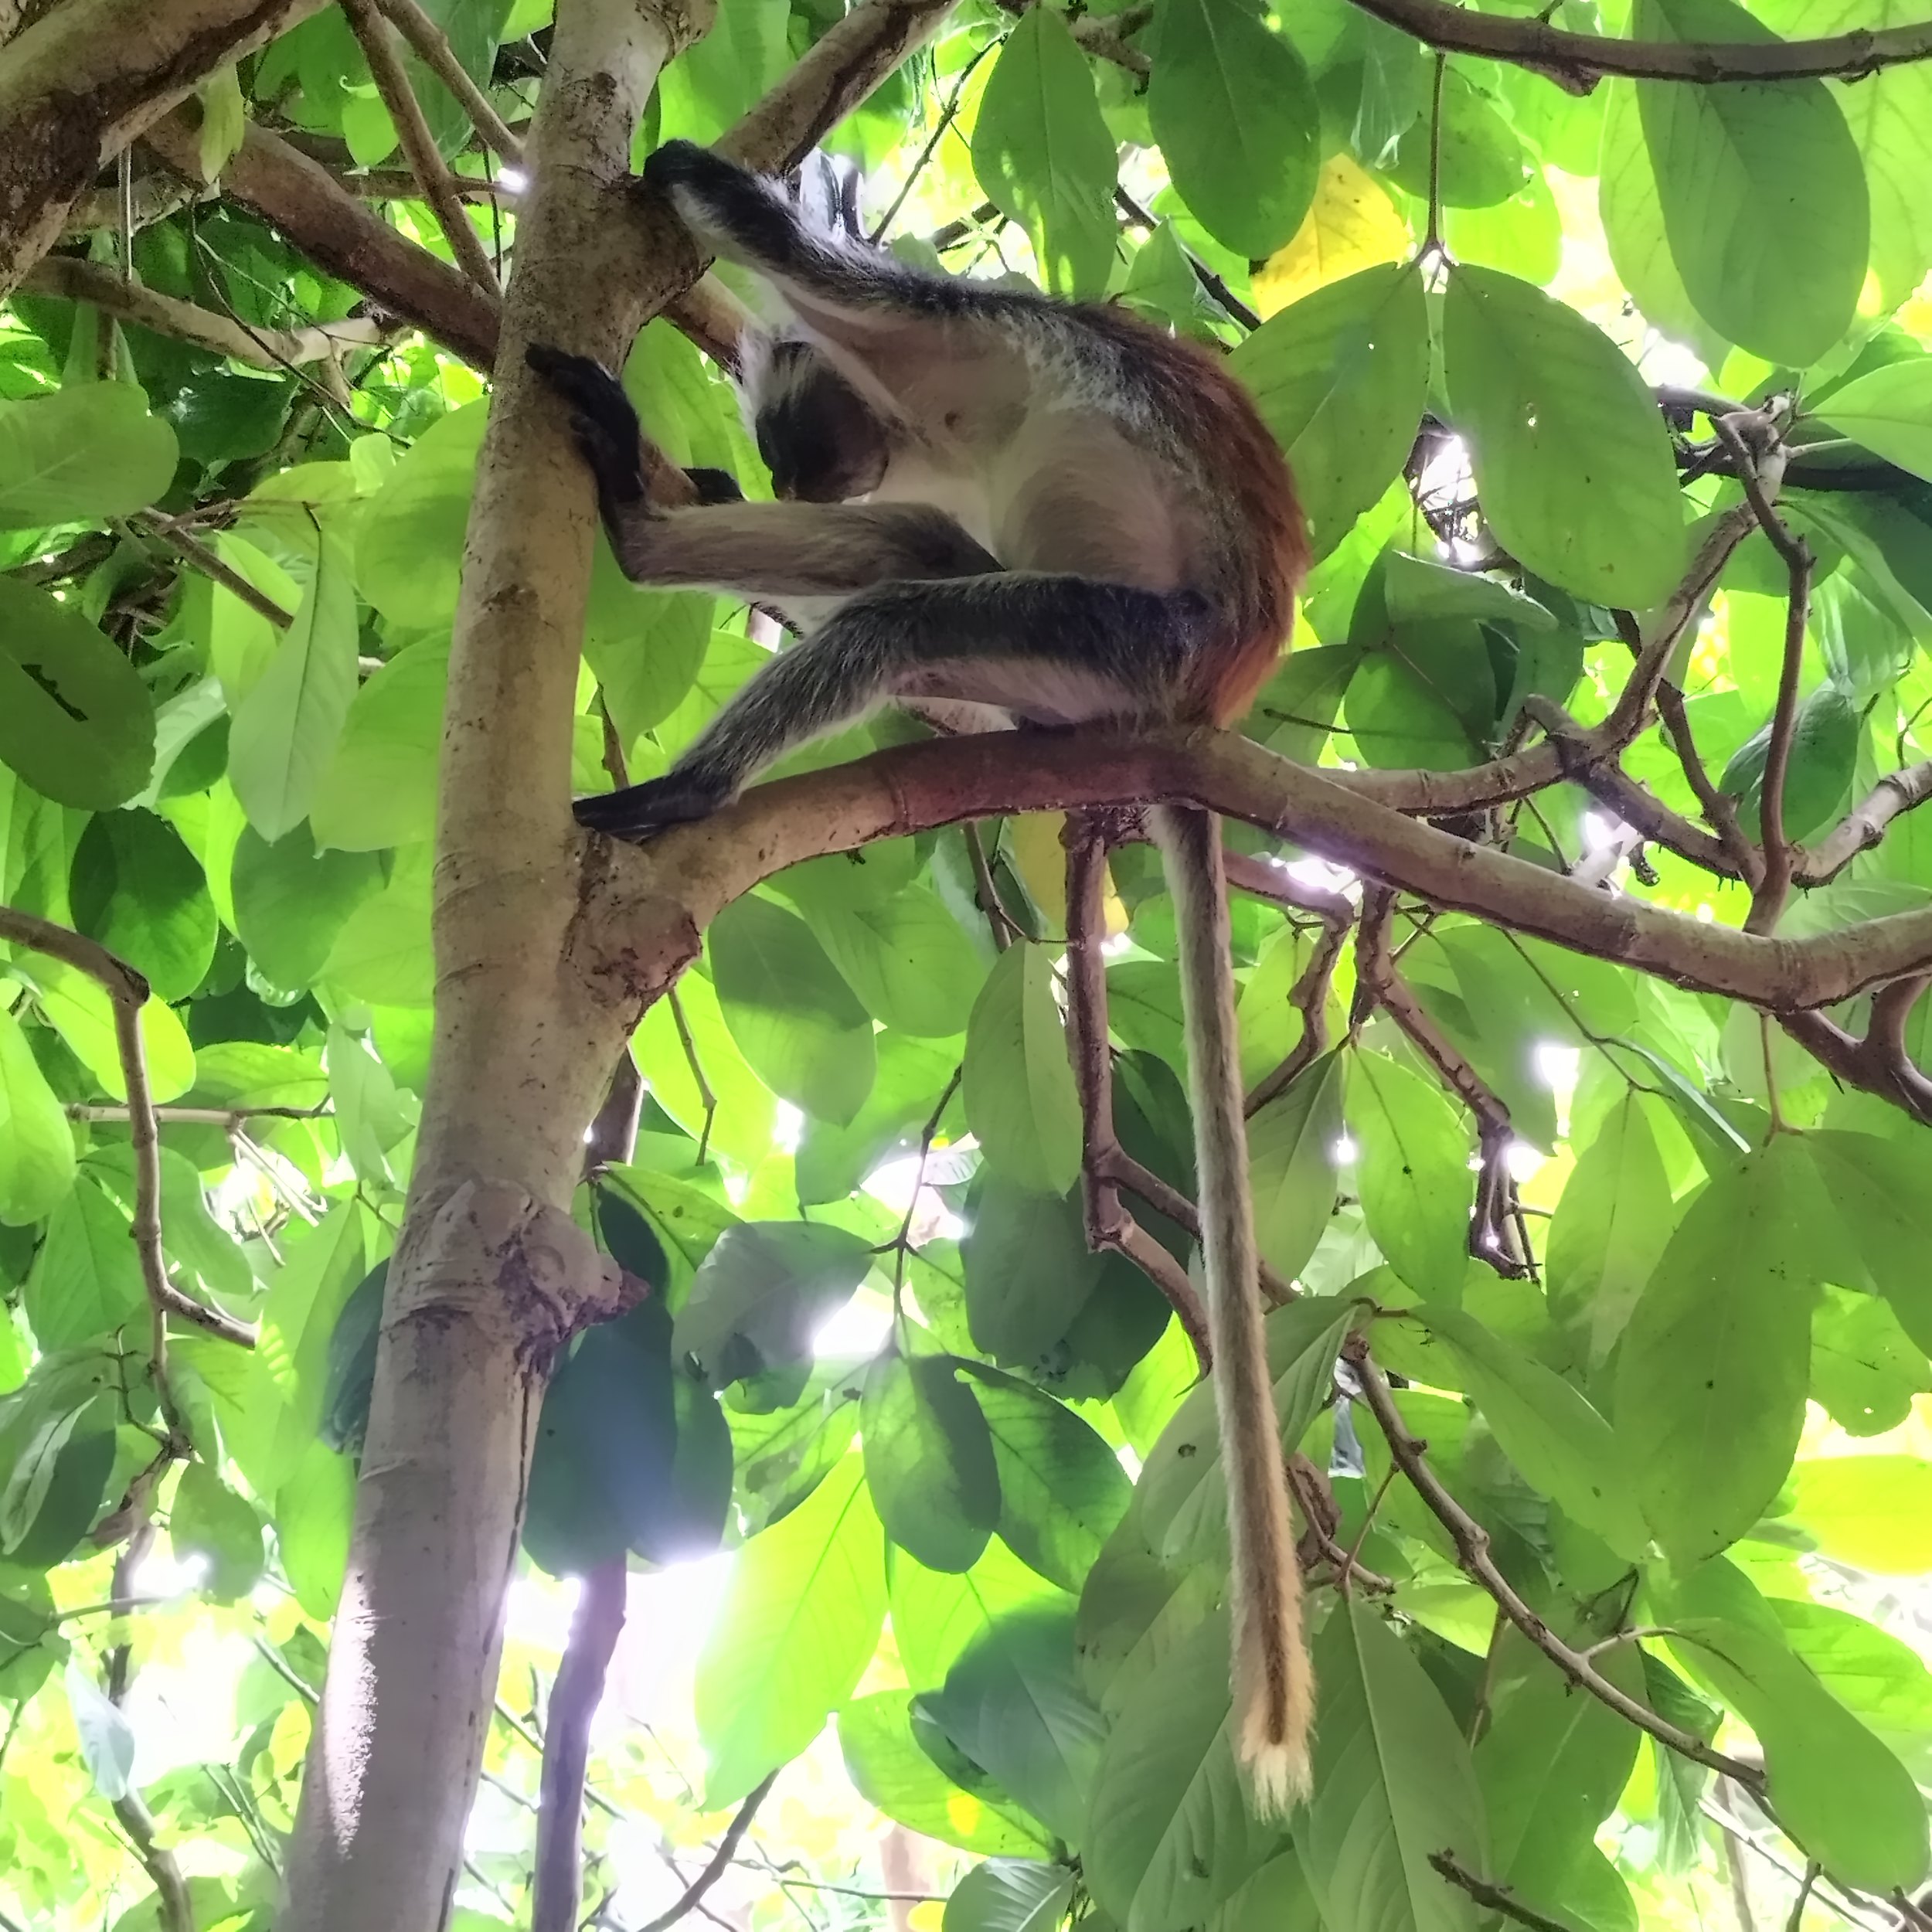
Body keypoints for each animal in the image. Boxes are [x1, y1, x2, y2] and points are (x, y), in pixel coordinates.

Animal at [527, 139, 1314, 1813]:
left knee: (912, 601)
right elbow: (904, 521)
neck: (919, 413)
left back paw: (696, 774)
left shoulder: (952, 323)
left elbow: (798, 255)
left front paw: (696, 176)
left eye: (795, 428)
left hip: (1127, 644)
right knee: (916, 563)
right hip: (1080, 681)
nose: (792, 476)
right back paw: (643, 535)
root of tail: (1205, 707)